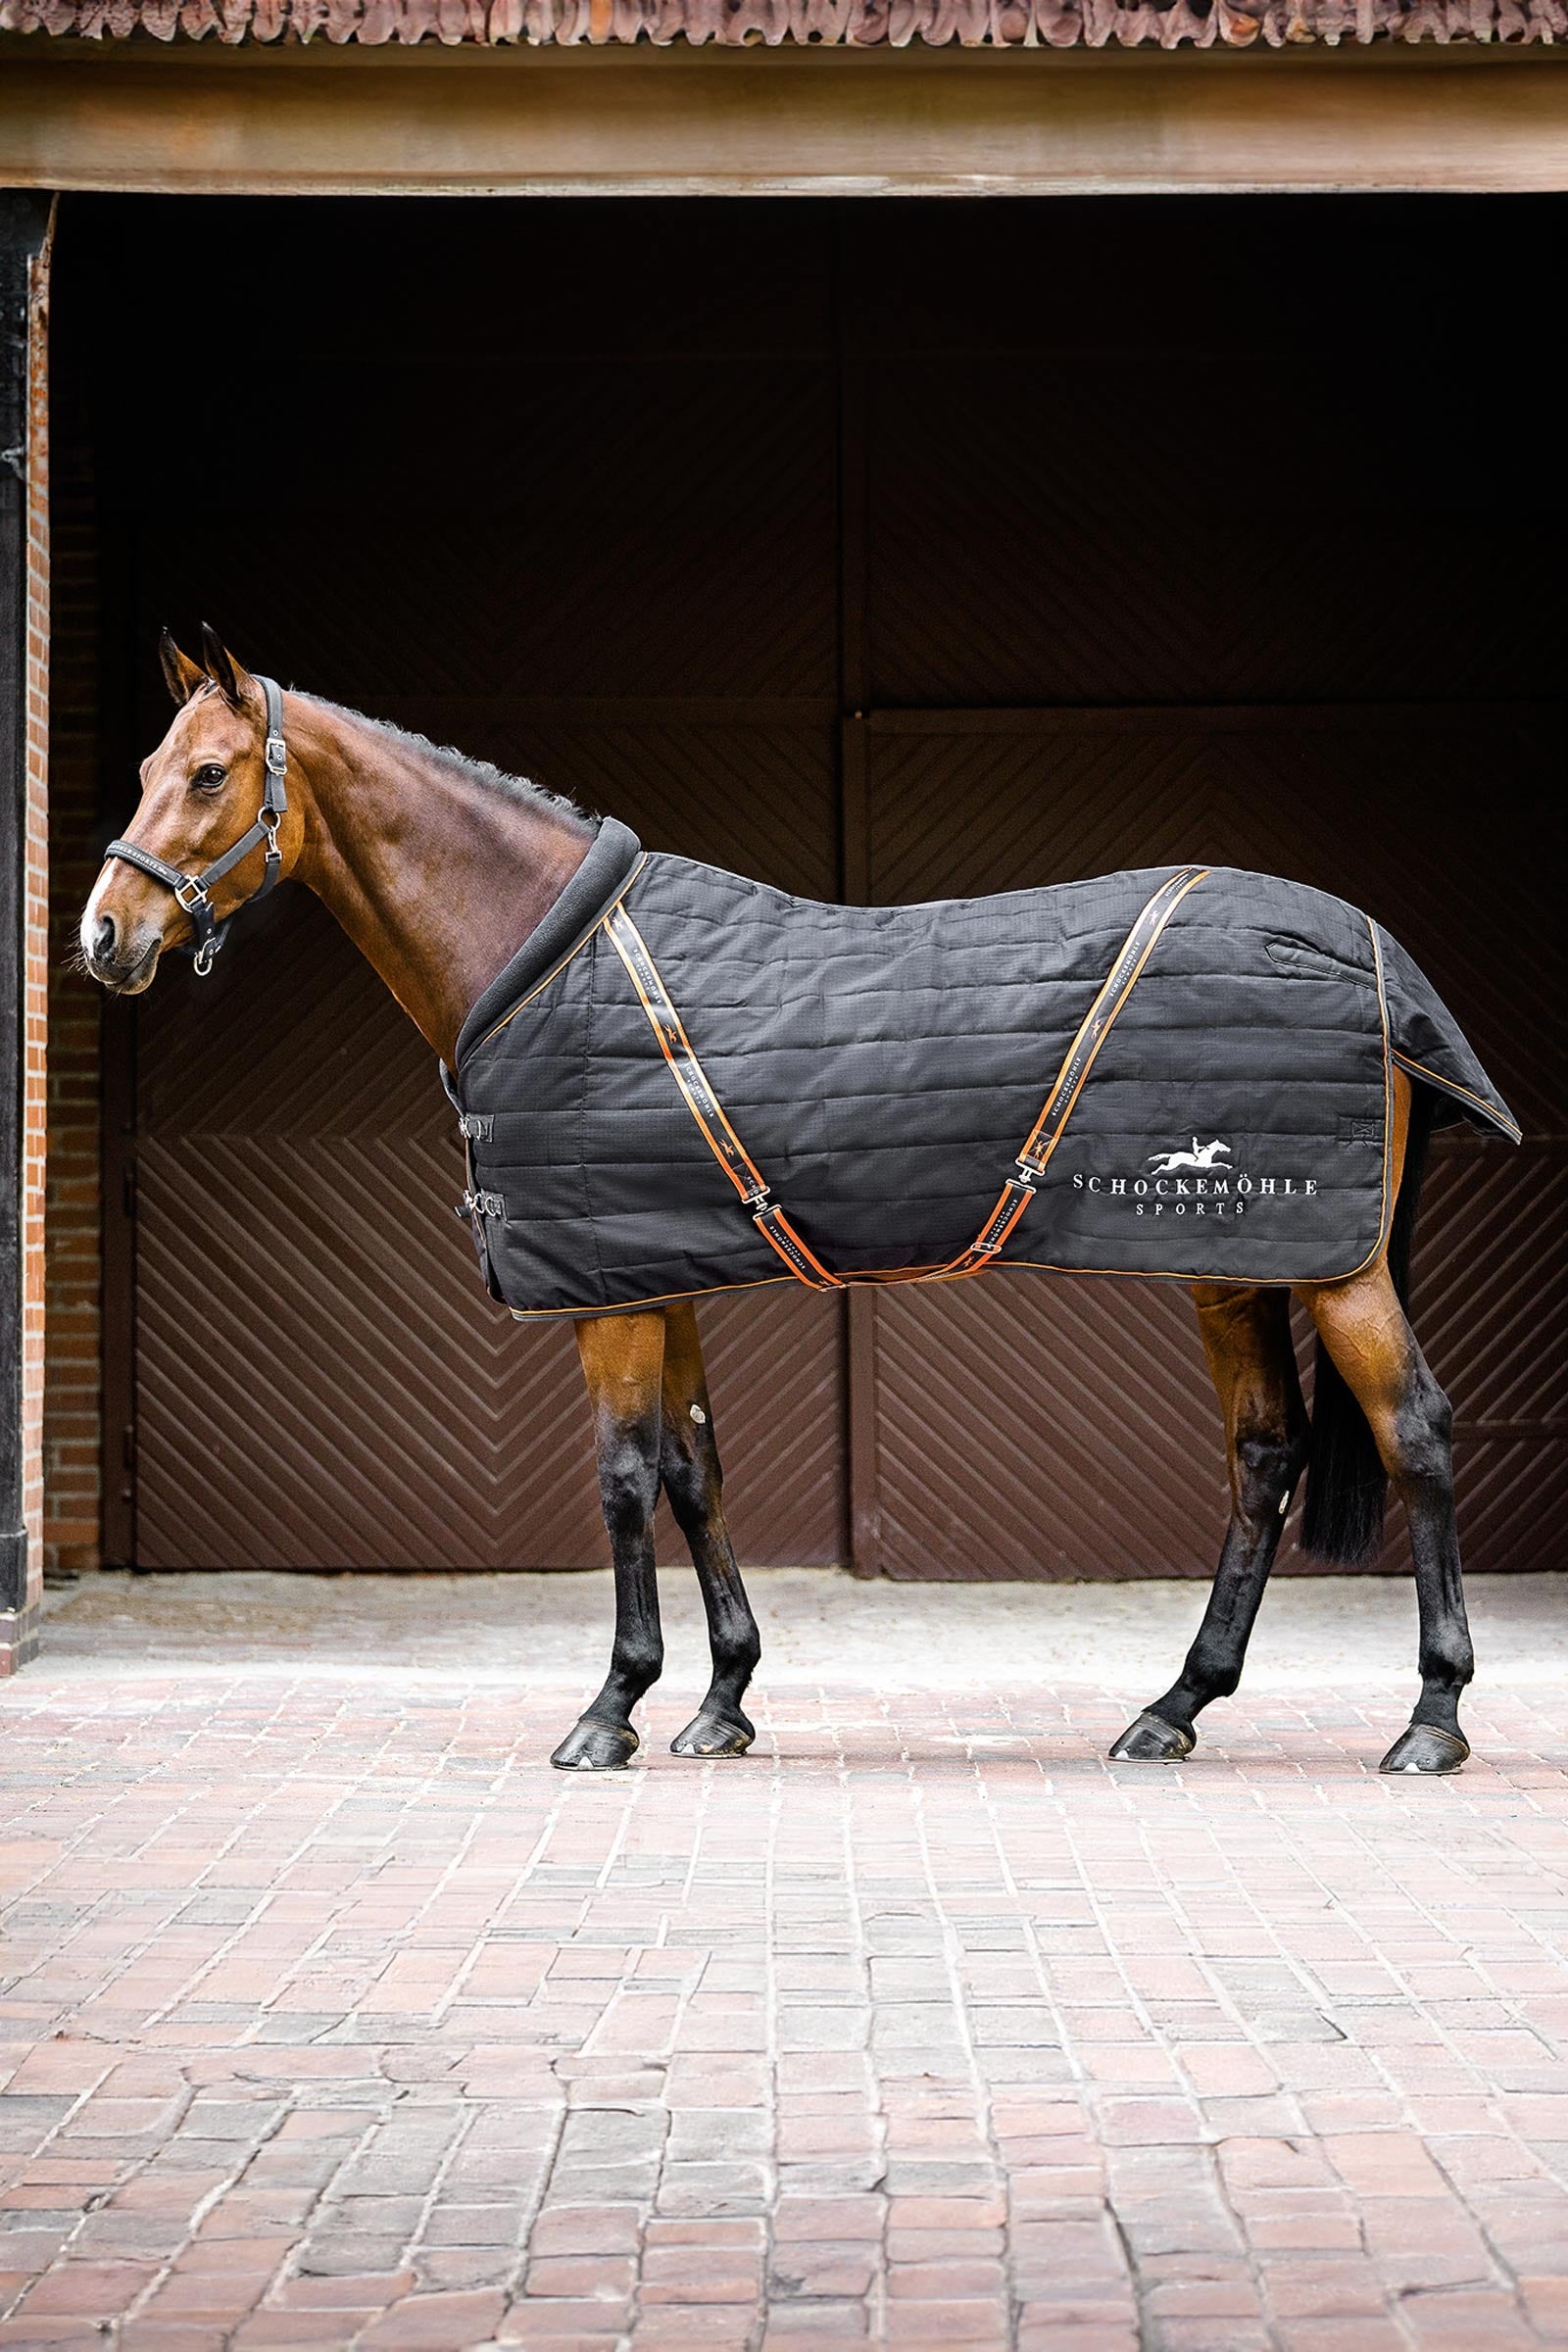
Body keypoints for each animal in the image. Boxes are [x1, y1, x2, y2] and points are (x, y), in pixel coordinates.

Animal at [80, 628, 1491, 1780]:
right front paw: (722, 1701)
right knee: (1265, 1455)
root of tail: (1374, 959)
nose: (102, 937)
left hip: (1332, 1267)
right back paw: (1174, 1708)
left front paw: (611, 1708)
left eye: (209, 775)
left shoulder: (610, 1296)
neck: (542, 955)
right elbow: (695, 1470)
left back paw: (1430, 1719)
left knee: (1413, 1433)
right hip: (1233, 1263)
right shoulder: (659, 1273)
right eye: (147, 761)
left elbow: (621, 1478)